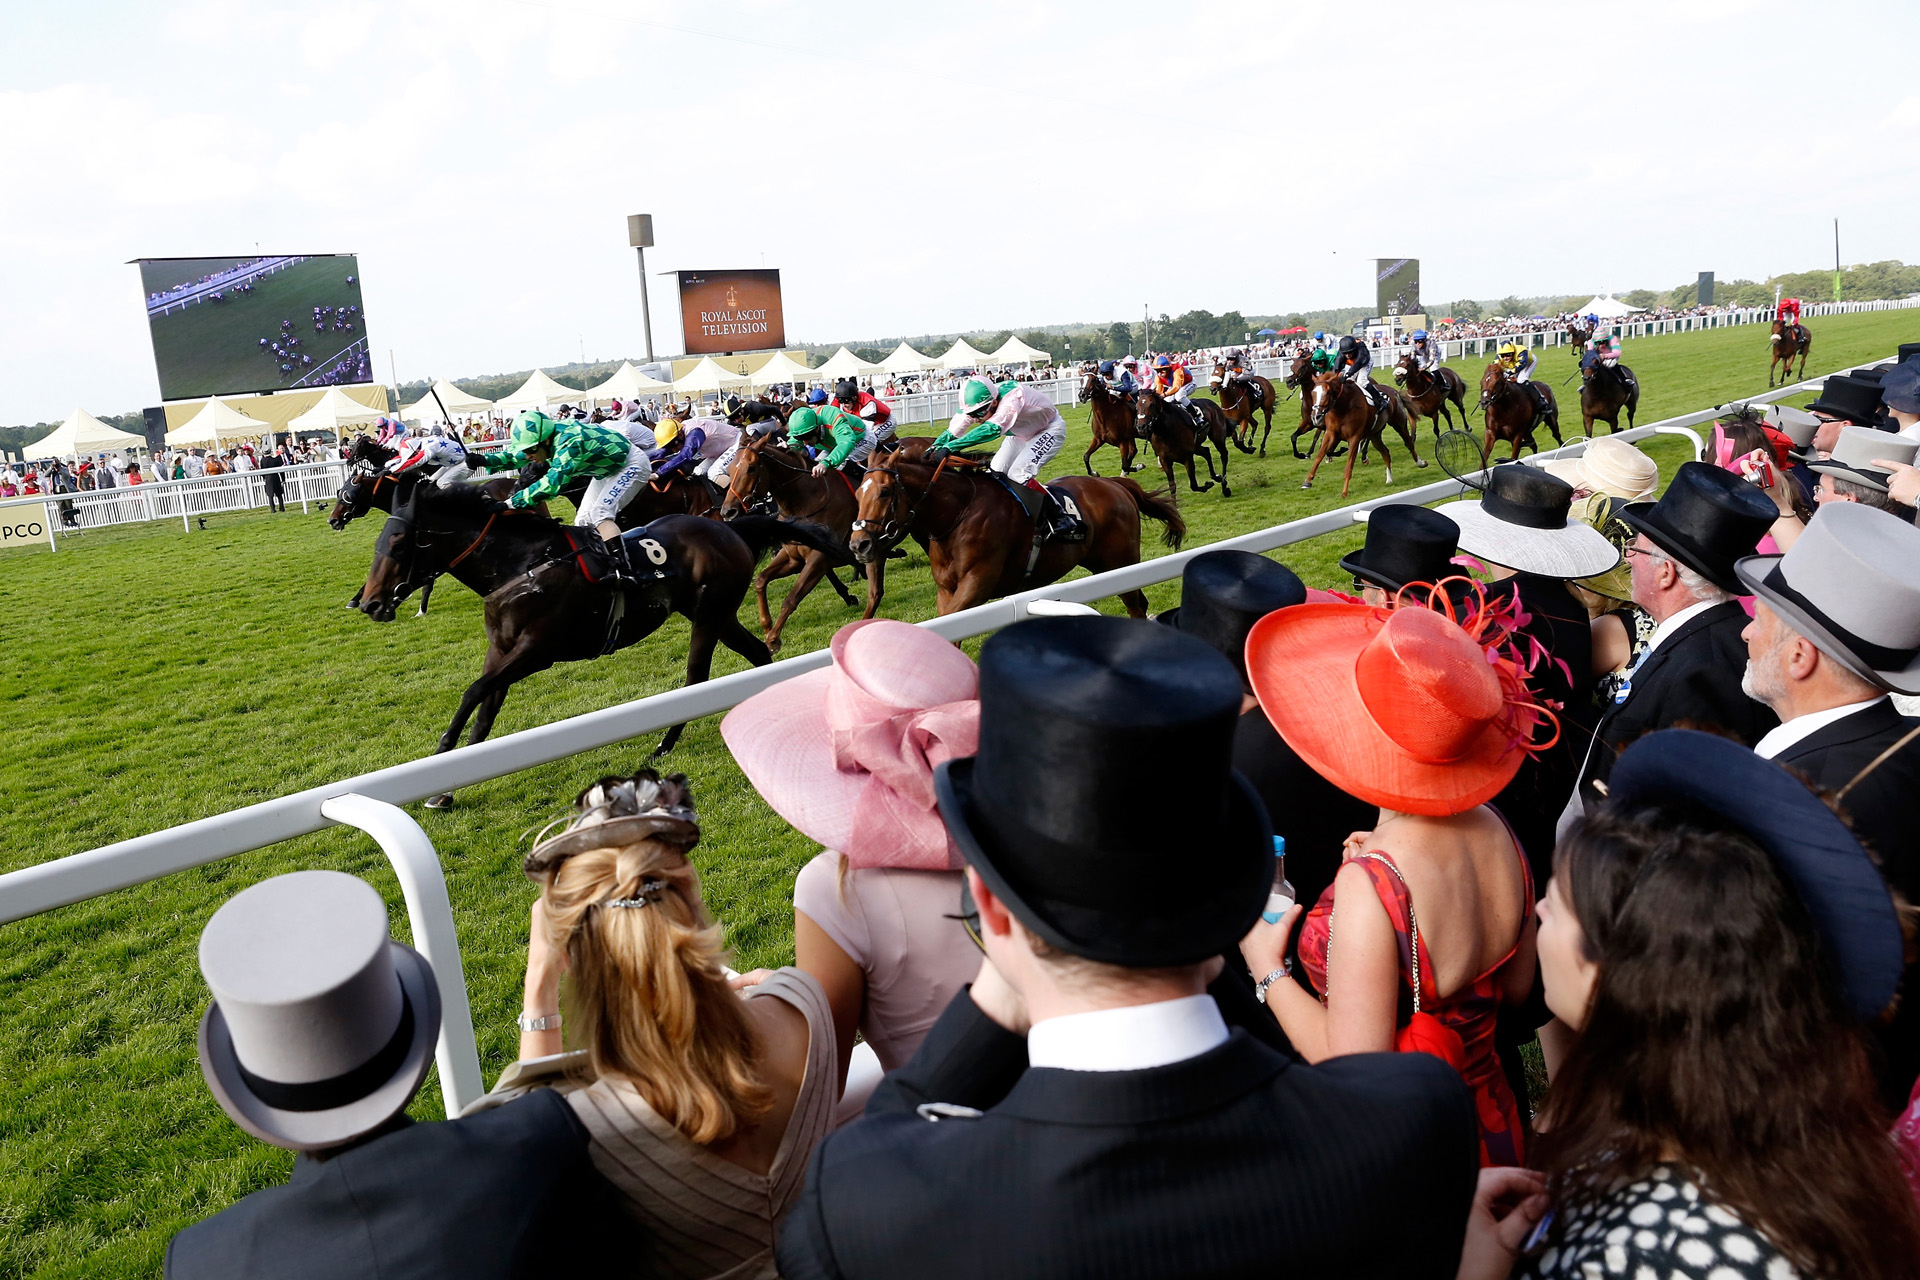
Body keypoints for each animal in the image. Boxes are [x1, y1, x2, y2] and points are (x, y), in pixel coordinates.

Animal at [355, 485, 848, 794]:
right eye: (378, 541)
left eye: (398, 545)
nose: (370, 603)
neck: (521, 565)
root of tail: (729, 527)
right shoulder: (502, 649)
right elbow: (484, 711)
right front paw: (446, 787)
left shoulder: (539, 650)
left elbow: (475, 691)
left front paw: (441, 759)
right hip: (717, 615)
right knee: (758, 654)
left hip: (709, 616)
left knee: (696, 677)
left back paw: (665, 744)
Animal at [718, 441, 879, 660]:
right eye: (731, 469)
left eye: (751, 468)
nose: (728, 511)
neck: (804, 502)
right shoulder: (793, 557)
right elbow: (760, 579)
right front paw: (767, 626)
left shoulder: (818, 557)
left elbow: (791, 597)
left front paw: (773, 639)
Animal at [844, 460, 1175, 621]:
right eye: (858, 493)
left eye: (885, 492)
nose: (859, 545)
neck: (956, 515)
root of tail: (1114, 484)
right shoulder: (946, 590)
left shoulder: (977, 583)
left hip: (1121, 565)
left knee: (1136, 606)